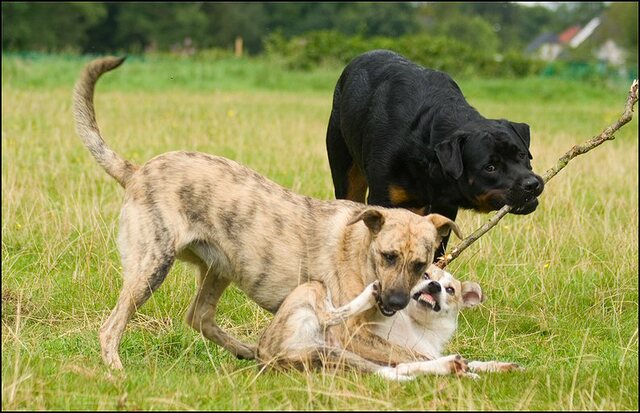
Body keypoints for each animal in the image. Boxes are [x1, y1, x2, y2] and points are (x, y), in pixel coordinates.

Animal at [74, 56, 460, 368]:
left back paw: (245, 350)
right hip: (151, 266)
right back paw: (116, 370)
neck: (362, 251)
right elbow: (412, 354)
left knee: (199, 317)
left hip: (220, 267)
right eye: (388, 256)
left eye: (421, 265)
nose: (394, 302)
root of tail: (137, 171)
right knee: (111, 327)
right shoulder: (353, 332)